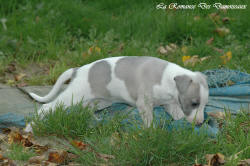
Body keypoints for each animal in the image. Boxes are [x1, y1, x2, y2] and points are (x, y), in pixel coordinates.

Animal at [24, 56, 209, 132]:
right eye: (194, 103)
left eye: (204, 105)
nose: (200, 123)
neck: (168, 77)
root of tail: (76, 70)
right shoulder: (144, 103)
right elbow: (149, 120)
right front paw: (151, 132)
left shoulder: (170, 104)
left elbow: (178, 114)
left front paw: (182, 124)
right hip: (72, 96)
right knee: (47, 107)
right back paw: (30, 127)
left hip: (96, 100)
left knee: (85, 110)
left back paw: (95, 120)